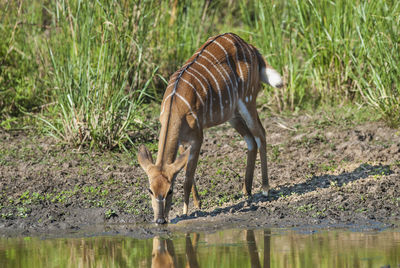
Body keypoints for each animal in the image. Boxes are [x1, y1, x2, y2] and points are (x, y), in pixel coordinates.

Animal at [139, 33, 282, 224]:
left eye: (170, 191)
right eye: (150, 190)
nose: (160, 220)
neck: (175, 107)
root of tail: (250, 46)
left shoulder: (198, 136)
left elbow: (188, 177)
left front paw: (186, 211)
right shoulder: (182, 141)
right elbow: (186, 170)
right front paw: (197, 203)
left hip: (248, 100)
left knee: (260, 134)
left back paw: (265, 189)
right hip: (232, 114)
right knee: (250, 139)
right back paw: (246, 190)